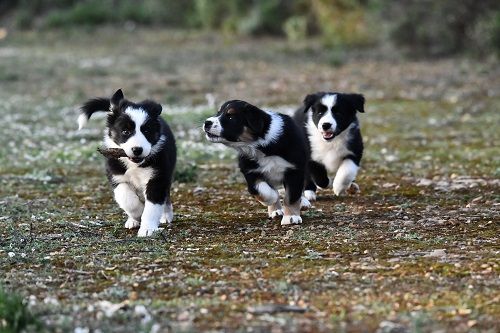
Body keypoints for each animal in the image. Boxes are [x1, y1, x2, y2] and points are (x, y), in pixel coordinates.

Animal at [77, 89, 177, 236]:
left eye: (147, 131)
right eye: (125, 131)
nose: (137, 149)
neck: (135, 164)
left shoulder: (157, 178)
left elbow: (153, 205)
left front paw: (147, 229)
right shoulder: (117, 176)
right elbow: (126, 198)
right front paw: (138, 214)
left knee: (166, 197)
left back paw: (166, 215)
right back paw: (133, 220)